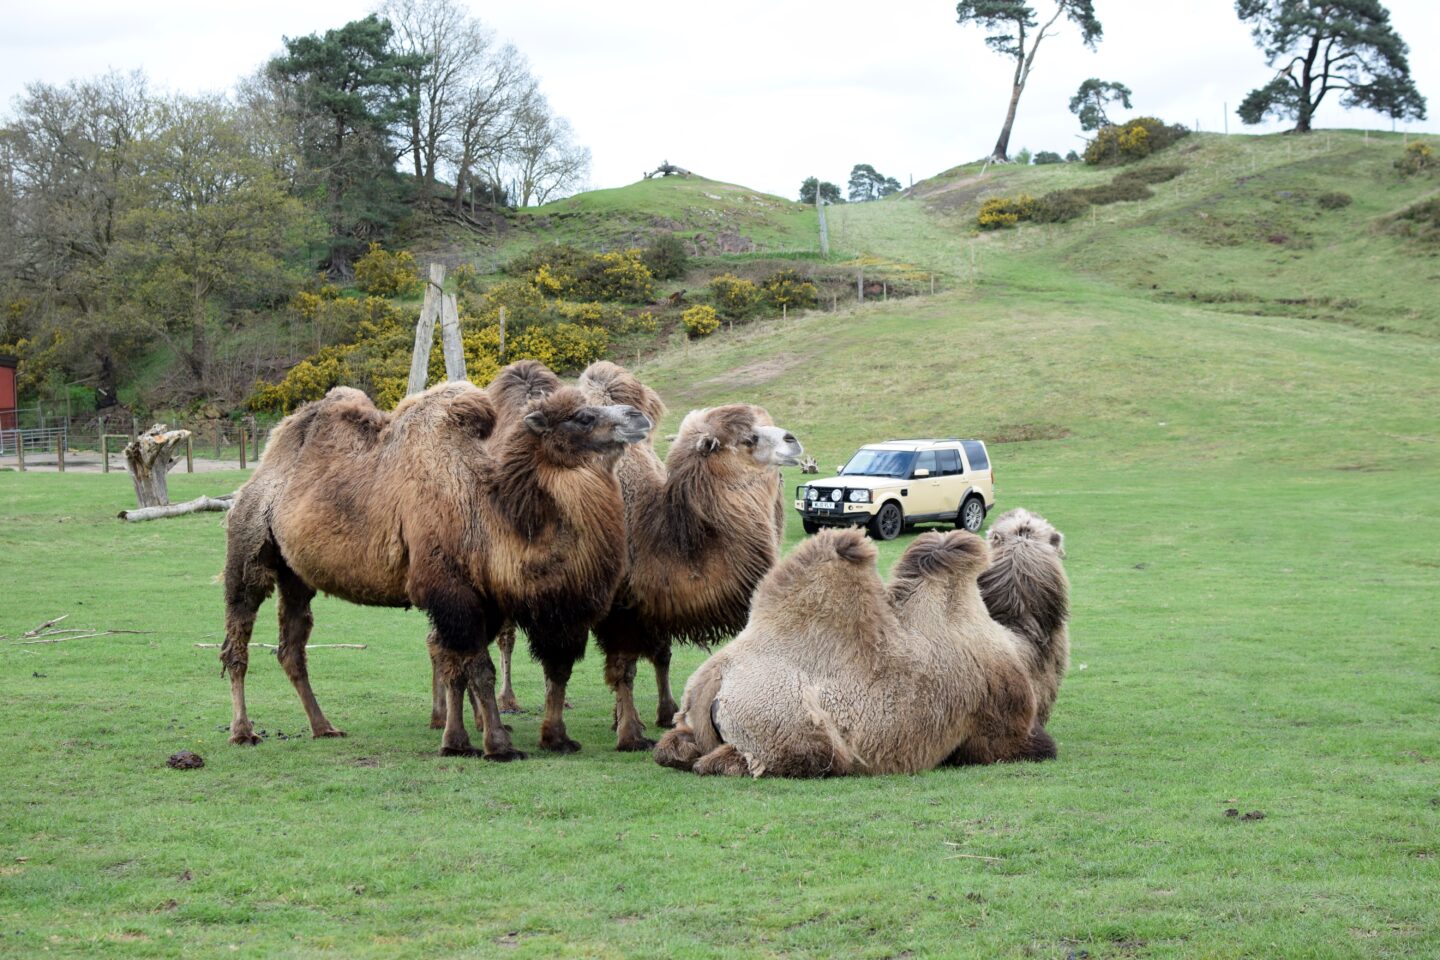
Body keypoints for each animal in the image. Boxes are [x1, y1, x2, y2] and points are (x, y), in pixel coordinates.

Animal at [221, 381, 650, 758]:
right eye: (583, 417)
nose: (639, 417)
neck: (487, 516)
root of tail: (263, 468)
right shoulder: (451, 593)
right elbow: (477, 669)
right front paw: (496, 745)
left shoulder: (488, 601)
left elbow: (474, 668)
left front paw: (504, 739)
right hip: (248, 547)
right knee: (238, 638)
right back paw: (243, 732)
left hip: (295, 575)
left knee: (291, 648)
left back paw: (323, 726)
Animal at [576, 361, 802, 751]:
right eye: (748, 439)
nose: (793, 440)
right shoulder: (619, 609)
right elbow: (623, 669)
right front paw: (630, 735)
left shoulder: (651, 605)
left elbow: (661, 655)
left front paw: (663, 715)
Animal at [653, 524, 1065, 777]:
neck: (1019, 646)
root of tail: (714, 677)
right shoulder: (1001, 731)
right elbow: (1042, 747)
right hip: (788, 726)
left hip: (693, 716)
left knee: (674, 748)